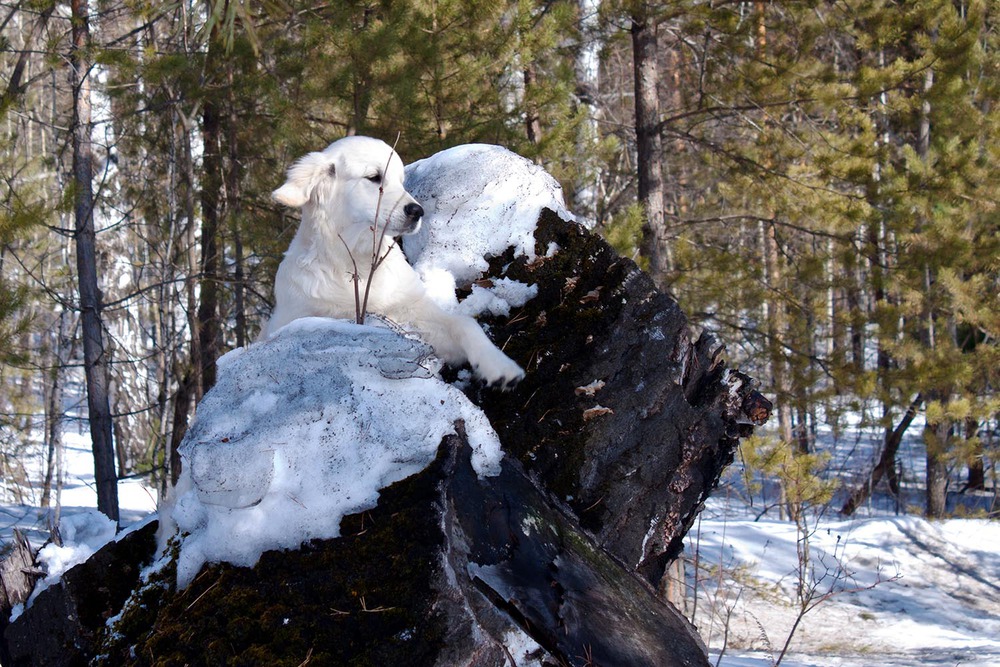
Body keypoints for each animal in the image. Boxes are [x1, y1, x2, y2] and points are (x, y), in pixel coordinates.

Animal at [258, 136, 524, 388]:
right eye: (374, 177)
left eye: (401, 181)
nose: (417, 211)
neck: (359, 264)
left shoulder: (413, 310)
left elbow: (464, 324)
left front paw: (499, 366)